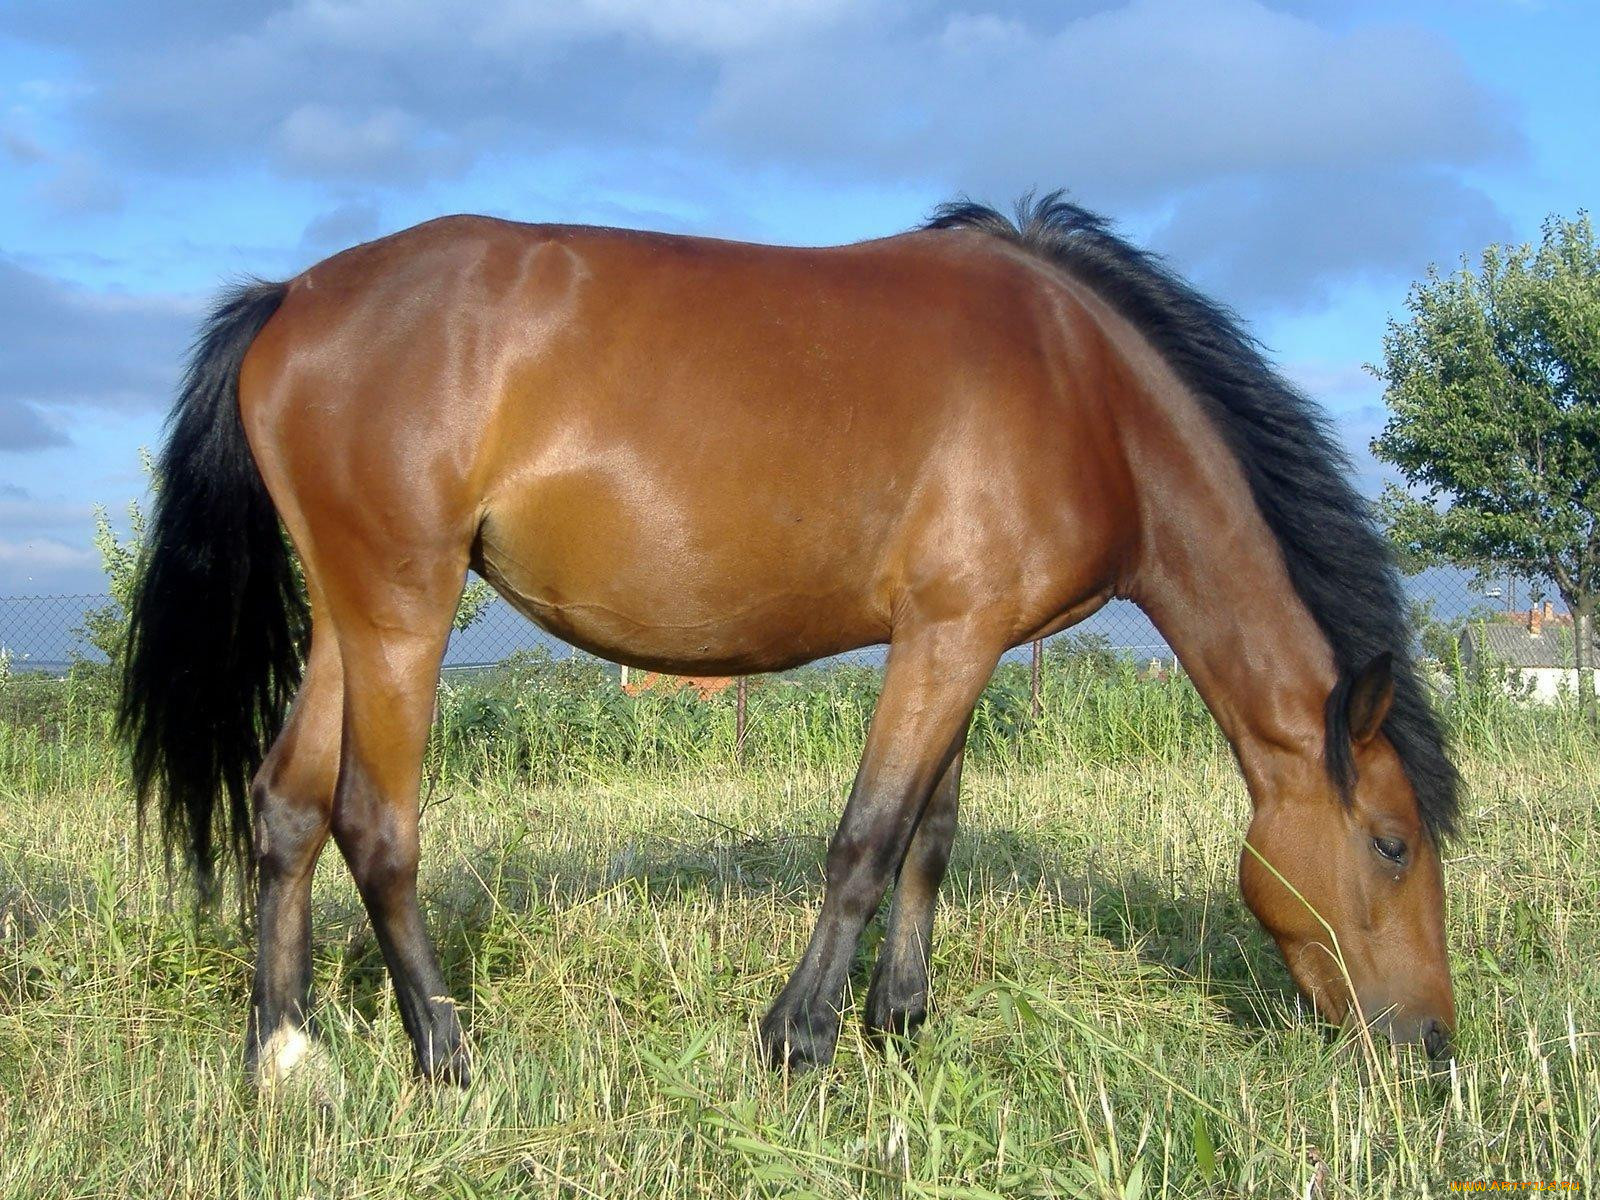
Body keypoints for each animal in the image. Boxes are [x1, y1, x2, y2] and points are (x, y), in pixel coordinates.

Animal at [118, 192, 1459, 1088]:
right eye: (1392, 846)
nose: (1432, 1052)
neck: (1087, 393)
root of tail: (291, 299)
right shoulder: (945, 639)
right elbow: (866, 840)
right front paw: (799, 1037)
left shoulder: (962, 636)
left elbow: (929, 838)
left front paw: (899, 1021)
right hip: (405, 613)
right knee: (375, 824)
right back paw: (444, 1051)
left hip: (350, 620)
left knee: (286, 807)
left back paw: (284, 1052)